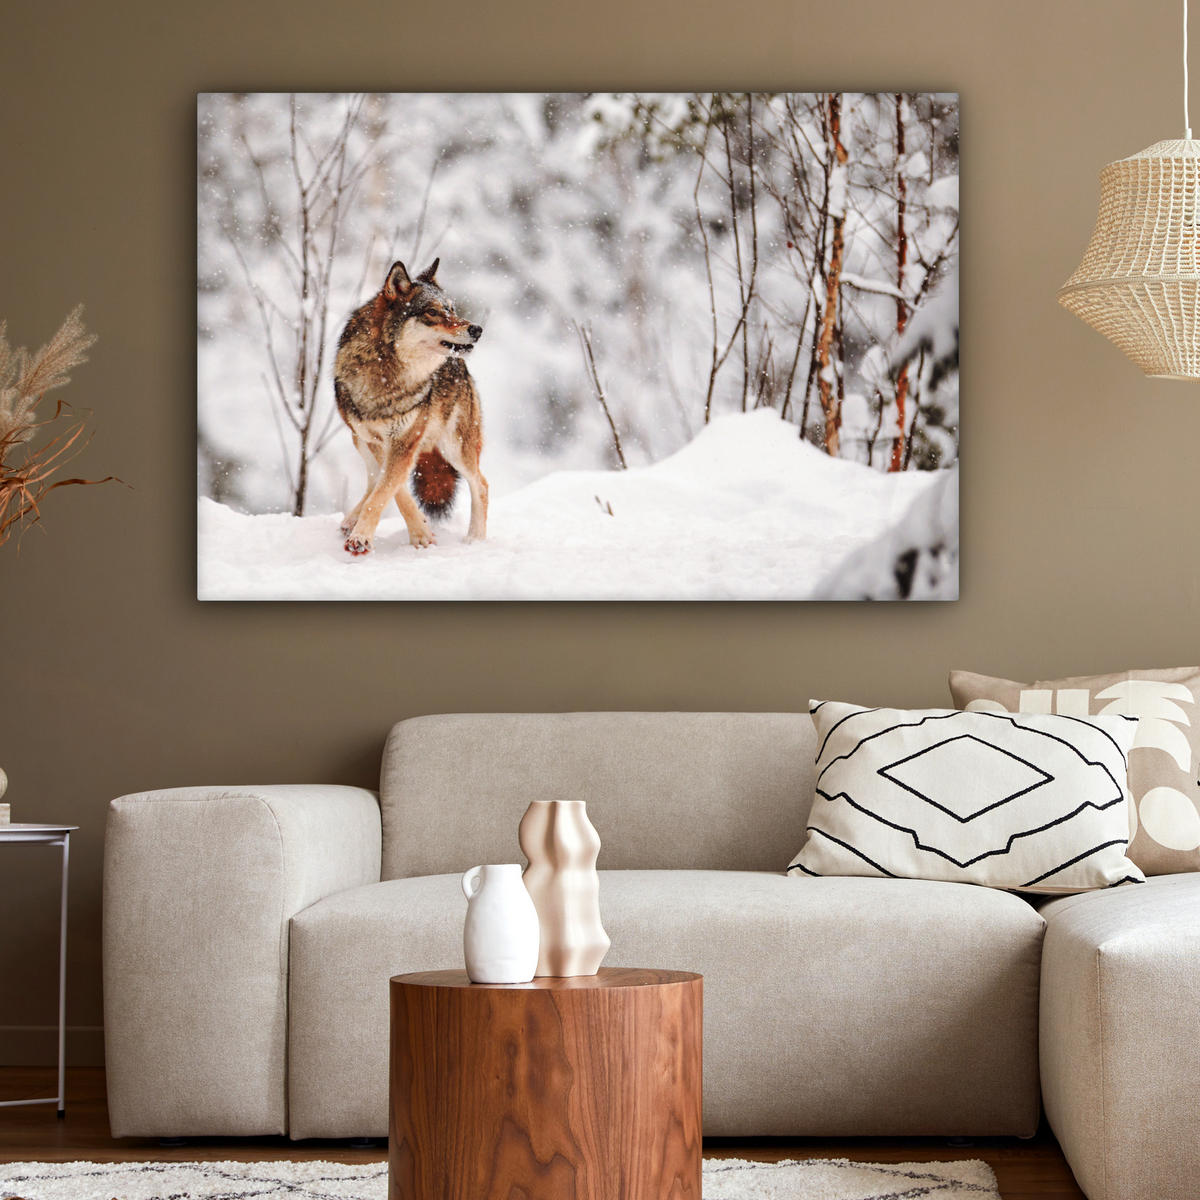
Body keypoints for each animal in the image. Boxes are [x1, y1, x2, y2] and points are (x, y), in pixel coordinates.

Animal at [333, 259, 488, 556]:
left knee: (481, 484)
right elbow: (392, 490)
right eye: (432, 312)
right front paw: (420, 531)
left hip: (455, 448)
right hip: (359, 440)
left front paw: (364, 538)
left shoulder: (404, 441)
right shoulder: (378, 442)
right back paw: (350, 520)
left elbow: (386, 491)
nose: (476, 329)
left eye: (452, 309)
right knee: (372, 480)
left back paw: (476, 540)